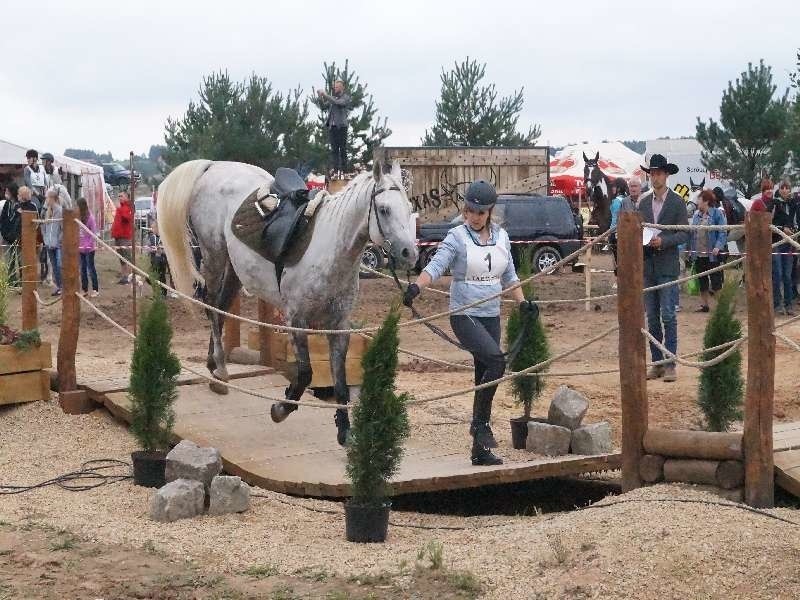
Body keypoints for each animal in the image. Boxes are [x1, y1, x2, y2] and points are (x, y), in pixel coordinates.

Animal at [158, 162, 418, 442]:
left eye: (409, 207)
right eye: (384, 209)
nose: (410, 253)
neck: (330, 248)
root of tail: (213, 166)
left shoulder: (339, 324)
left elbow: (340, 378)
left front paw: (344, 428)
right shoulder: (296, 319)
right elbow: (305, 373)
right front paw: (281, 408)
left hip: (234, 268)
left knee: (223, 308)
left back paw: (214, 367)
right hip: (213, 254)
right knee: (212, 307)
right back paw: (221, 371)